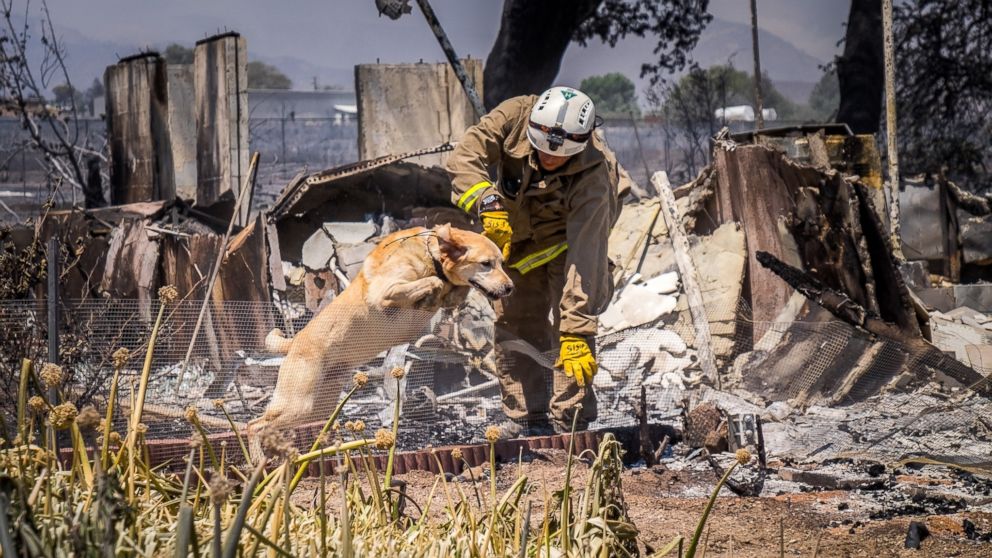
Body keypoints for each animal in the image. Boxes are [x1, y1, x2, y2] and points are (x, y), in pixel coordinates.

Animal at [248, 223, 516, 450]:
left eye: (501, 263)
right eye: (486, 263)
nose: (510, 288)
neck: (431, 254)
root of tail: (295, 342)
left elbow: (453, 291)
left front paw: (444, 295)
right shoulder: (384, 292)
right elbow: (433, 282)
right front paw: (431, 293)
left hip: (319, 404)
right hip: (297, 403)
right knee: (254, 426)